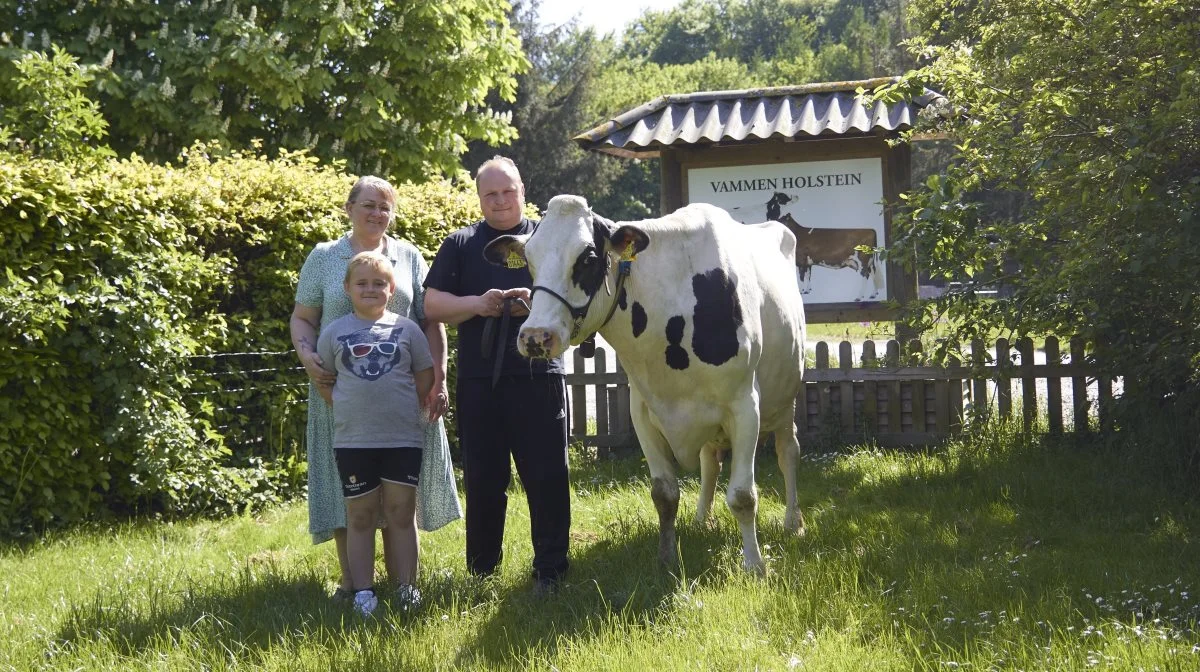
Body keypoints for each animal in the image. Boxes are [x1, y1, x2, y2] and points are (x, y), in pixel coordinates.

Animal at [484, 193, 806, 571]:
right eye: (529, 260)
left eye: (588, 258)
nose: (536, 336)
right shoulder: (643, 411)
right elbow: (664, 494)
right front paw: (667, 559)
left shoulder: (744, 406)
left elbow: (743, 496)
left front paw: (754, 565)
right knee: (710, 461)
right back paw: (702, 519)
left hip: (785, 400)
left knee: (788, 452)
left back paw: (793, 522)